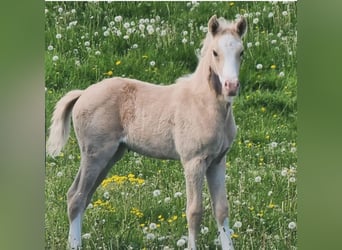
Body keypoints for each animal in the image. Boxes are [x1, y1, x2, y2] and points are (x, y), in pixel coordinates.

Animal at [46, 14, 247, 249]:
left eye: (241, 52)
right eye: (215, 52)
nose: (231, 86)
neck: (204, 103)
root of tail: (83, 93)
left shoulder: (217, 160)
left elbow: (222, 209)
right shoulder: (193, 161)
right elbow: (194, 212)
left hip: (111, 156)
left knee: (82, 196)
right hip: (95, 154)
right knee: (76, 197)